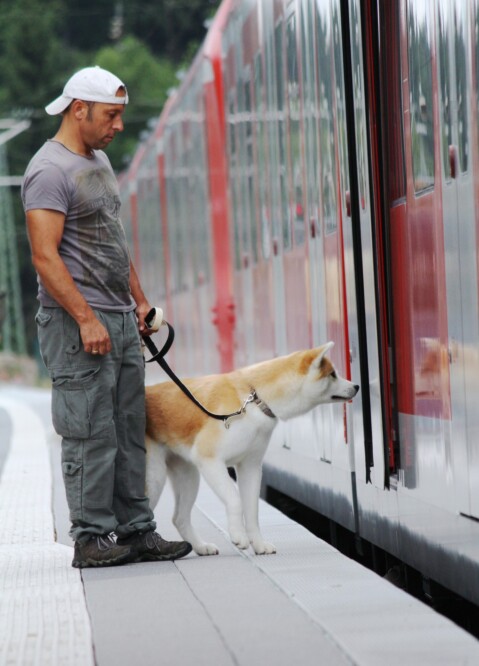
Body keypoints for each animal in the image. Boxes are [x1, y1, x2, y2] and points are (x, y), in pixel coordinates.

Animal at [146, 342, 360, 556]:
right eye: (332, 374)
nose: (356, 386)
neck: (255, 400)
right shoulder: (210, 460)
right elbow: (235, 500)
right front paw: (238, 536)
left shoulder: (250, 467)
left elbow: (252, 511)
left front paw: (258, 544)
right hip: (156, 478)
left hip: (188, 477)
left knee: (179, 518)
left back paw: (200, 546)